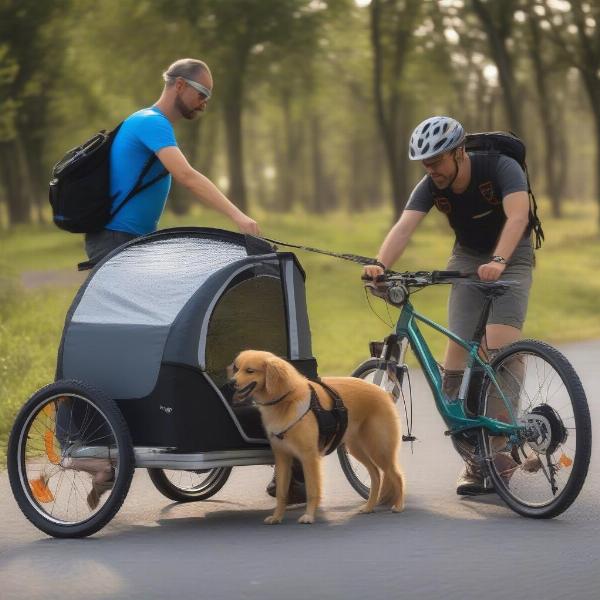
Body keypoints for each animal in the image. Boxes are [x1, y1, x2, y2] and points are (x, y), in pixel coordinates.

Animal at [229, 350, 404, 524]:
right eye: (236, 368)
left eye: (250, 370)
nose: (230, 383)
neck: (287, 399)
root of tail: (383, 392)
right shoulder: (283, 458)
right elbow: (281, 493)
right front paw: (277, 517)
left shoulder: (309, 458)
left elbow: (312, 490)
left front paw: (309, 516)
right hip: (358, 449)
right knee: (376, 475)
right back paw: (369, 507)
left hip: (379, 449)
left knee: (396, 475)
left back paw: (398, 506)